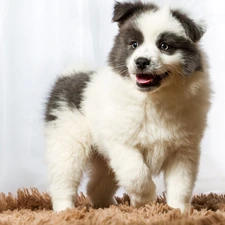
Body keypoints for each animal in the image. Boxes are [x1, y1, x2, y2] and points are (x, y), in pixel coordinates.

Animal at [44, 1, 211, 213]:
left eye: (164, 46)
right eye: (134, 44)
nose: (141, 61)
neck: (153, 98)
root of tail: (69, 76)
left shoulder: (183, 149)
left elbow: (181, 185)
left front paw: (178, 211)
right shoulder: (122, 144)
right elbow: (136, 174)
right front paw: (145, 201)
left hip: (103, 158)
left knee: (95, 186)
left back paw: (109, 207)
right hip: (67, 143)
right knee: (63, 181)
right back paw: (65, 210)